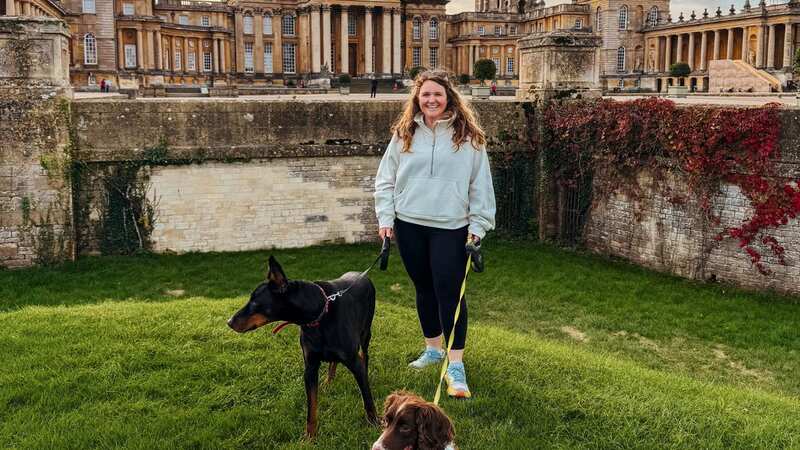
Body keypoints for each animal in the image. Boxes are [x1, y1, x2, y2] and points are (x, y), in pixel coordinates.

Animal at [227, 256, 380, 436]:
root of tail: (363, 275)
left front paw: (375, 423)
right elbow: (311, 408)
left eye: (255, 302)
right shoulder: (310, 367)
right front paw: (310, 436)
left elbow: (368, 400)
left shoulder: (354, 362)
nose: (229, 322)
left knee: (365, 356)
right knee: (334, 361)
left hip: (365, 334)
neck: (319, 315)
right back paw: (328, 381)